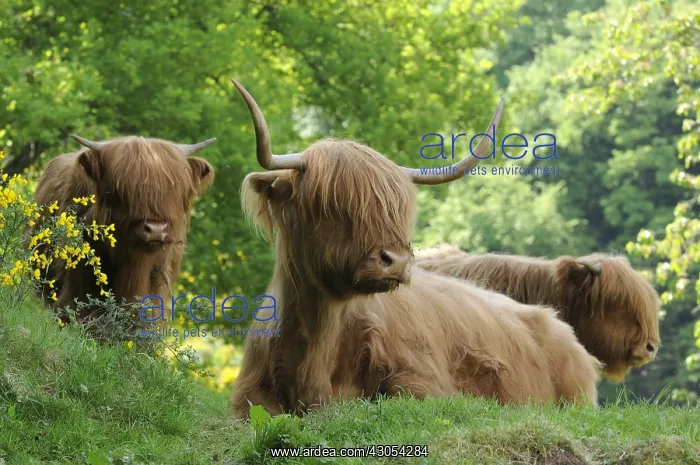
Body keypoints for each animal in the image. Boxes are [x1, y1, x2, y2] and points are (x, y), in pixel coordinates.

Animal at [228, 78, 602, 419]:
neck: (314, 352)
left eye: (397, 209)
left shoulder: (425, 383)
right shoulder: (247, 398)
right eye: (329, 204)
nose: (395, 262)